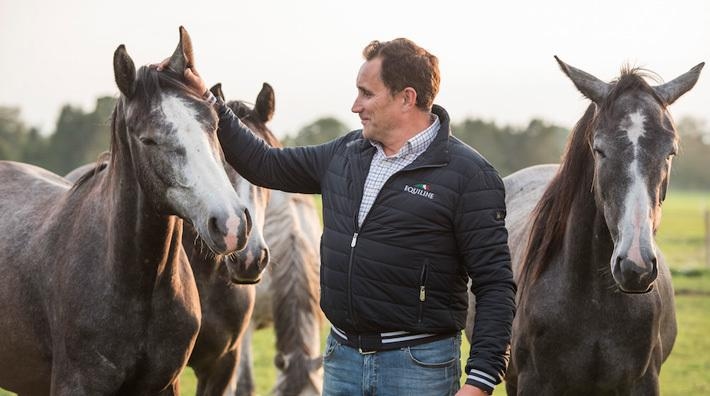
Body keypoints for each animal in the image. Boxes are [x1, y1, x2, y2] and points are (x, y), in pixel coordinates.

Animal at [492, 57, 704, 394]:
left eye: (670, 151)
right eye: (599, 149)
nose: (635, 266)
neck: (595, 302)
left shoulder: (643, 382)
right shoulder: (533, 382)